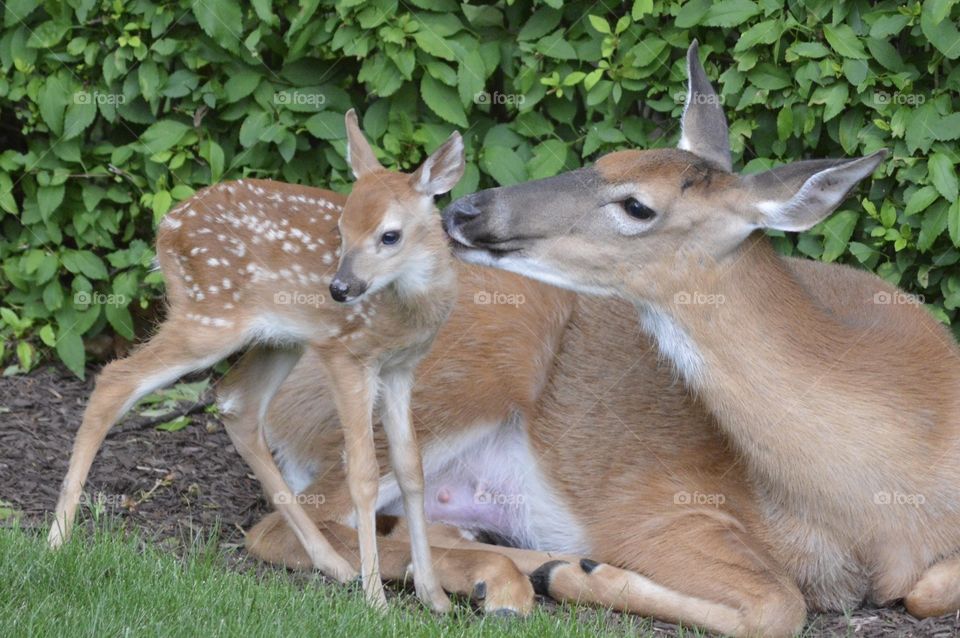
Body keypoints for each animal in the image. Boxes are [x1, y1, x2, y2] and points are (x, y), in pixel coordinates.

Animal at [46, 109, 467, 613]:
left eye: (390, 235)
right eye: (341, 230)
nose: (339, 289)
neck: (406, 310)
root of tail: (165, 227)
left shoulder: (402, 367)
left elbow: (411, 468)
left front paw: (435, 597)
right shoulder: (346, 353)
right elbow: (363, 472)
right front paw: (377, 601)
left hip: (277, 338)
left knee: (235, 402)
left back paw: (333, 564)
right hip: (209, 315)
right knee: (116, 378)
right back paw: (56, 539)